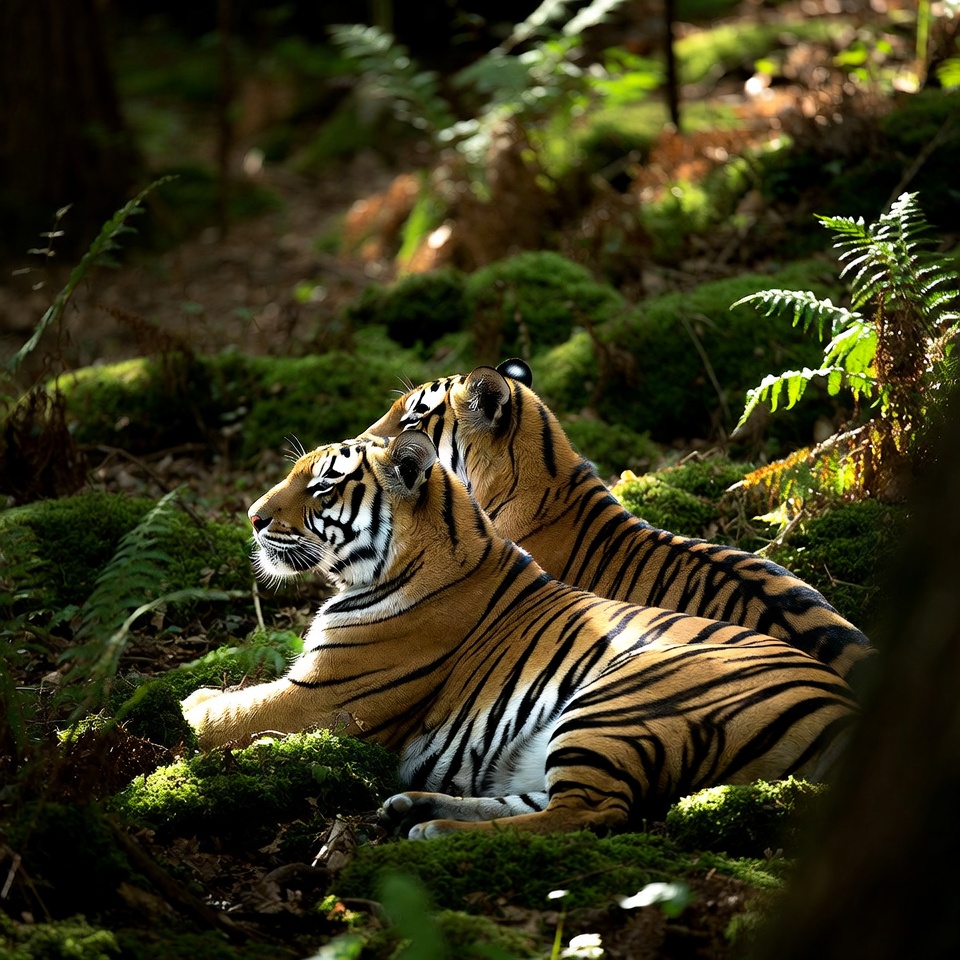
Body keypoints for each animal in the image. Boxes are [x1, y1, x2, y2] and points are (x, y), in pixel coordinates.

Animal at [181, 430, 857, 838]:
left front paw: (191, 705)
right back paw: (416, 807)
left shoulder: (324, 696)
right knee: (540, 801)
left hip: (617, 704)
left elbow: (232, 712)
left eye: (321, 487)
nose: (252, 517)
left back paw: (437, 831)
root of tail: (842, 708)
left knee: (588, 813)